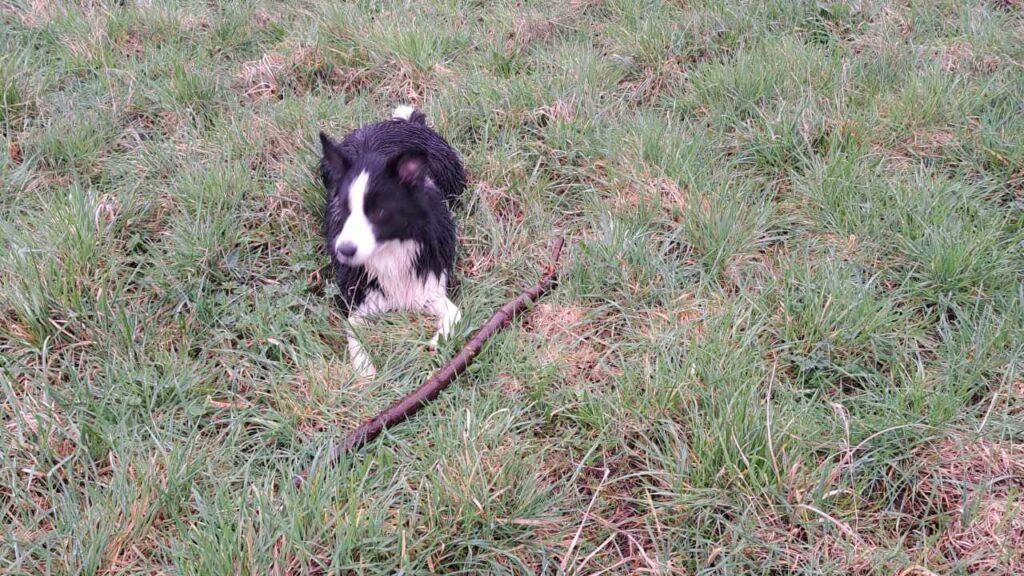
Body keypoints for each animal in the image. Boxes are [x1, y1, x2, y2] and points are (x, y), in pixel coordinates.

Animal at [317, 106, 466, 377]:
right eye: (343, 208)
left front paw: (435, 342)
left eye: (379, 212)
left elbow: (454, 314)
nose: (344, 250)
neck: (391, 250)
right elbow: (353, 331)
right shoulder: (359, 297)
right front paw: (365, 369)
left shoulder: (429, 285)